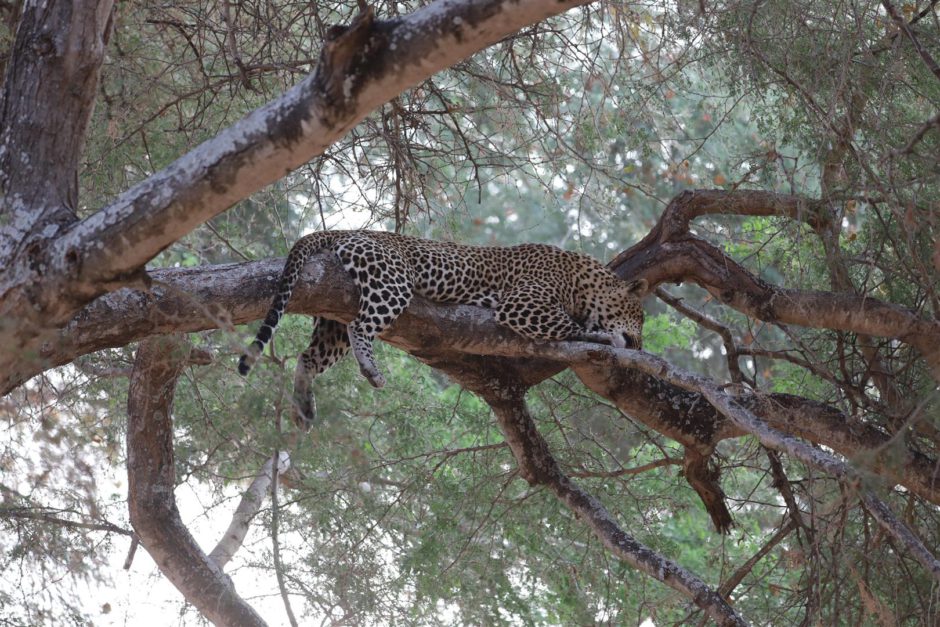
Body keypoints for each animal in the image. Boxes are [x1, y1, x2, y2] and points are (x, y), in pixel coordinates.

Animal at [239, 232, 648, 432]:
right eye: (641, 319)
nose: (641, 345)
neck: (583, 281)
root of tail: (343, 229)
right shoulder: (522, 304)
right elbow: (572, 328)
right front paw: (602, 337)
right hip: (391, 285)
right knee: (361, 327)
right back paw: (370, 368)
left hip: (333, 314)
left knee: (309, 356)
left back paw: (303, 408)